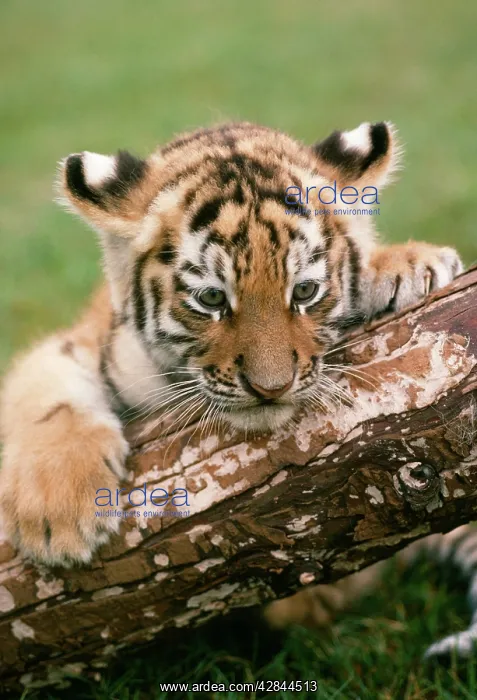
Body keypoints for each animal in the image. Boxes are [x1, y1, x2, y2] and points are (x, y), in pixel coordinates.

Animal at [0, 120, 469, 659]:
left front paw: (407, 266)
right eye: (211, 299)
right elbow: (46, 397)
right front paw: (57, 517)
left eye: (304, 291)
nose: (271, 387)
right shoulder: (81, 345)